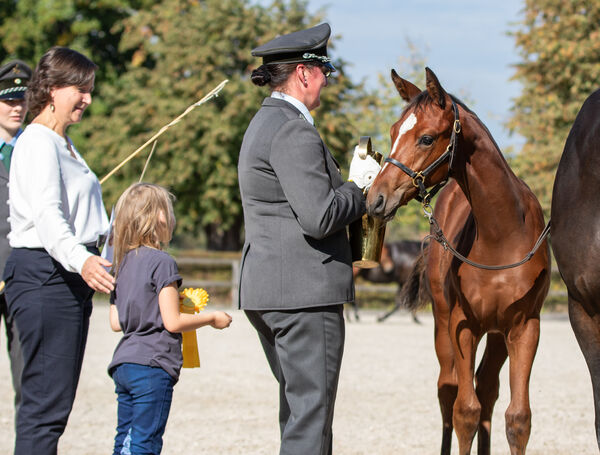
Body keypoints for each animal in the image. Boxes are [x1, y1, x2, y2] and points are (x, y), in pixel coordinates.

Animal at [364, 68, 552, 455]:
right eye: (392, 131)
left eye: (426, 138)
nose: (375, 199)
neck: (502, 234)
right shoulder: (463, 324)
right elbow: (465, 411)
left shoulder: (525, 326)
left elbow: (518, 418)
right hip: (443, 322)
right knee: (448, 390)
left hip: (497, 334)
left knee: (488, 389)